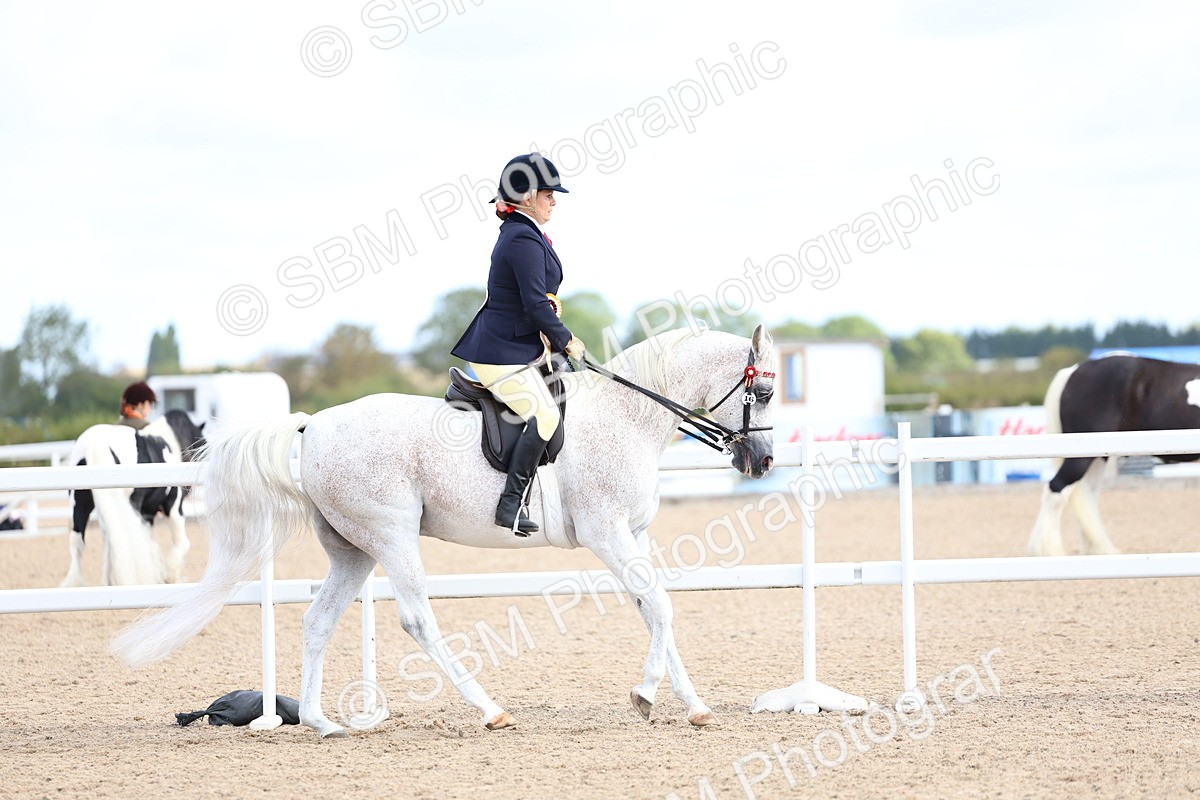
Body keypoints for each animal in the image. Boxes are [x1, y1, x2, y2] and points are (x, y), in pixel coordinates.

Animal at [61, 409, 206, 586]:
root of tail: (94, 447)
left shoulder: (147, 514)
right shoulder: (172, 506)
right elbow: (181, 543)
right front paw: (170, 576)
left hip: (80, 506)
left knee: (78, 543)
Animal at [112, 326, 777, 737]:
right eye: (765, 390)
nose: (763, 461)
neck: (628, 417)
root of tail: (312, 427)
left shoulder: (631, 536)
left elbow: (653, 608)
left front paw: (692, 706)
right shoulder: (607, 532)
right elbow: (659, 606)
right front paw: (645, 695)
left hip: (353, 549)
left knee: (319, 621)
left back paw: (322, 722)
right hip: (392, 536)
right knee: (417, 619)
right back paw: (490, 711)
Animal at [1028, 354, 1200, 556]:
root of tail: (1073, 371)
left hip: (1097, 458)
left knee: (1087, 498)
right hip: (1079, 459)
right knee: (1056, 490)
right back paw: (1050, 551)